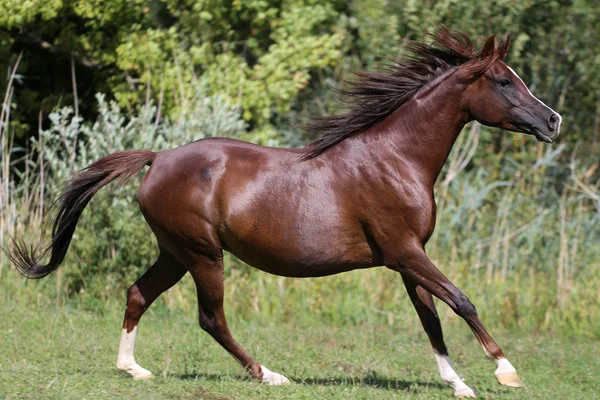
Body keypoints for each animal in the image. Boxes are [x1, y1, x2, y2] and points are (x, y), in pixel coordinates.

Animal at [4, 26, 560, 398]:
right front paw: (505, 371)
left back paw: (132, 369)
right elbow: (462, 301)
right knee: (211, 317)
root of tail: (157, 158)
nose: (552, 121)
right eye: (504, 82)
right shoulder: (405, 250)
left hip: (176, 251)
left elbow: (432, 319)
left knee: (138, 293)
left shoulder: (406, 258)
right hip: (203, 253)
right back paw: (268, 374)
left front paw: (459, 383)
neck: (397, 159)